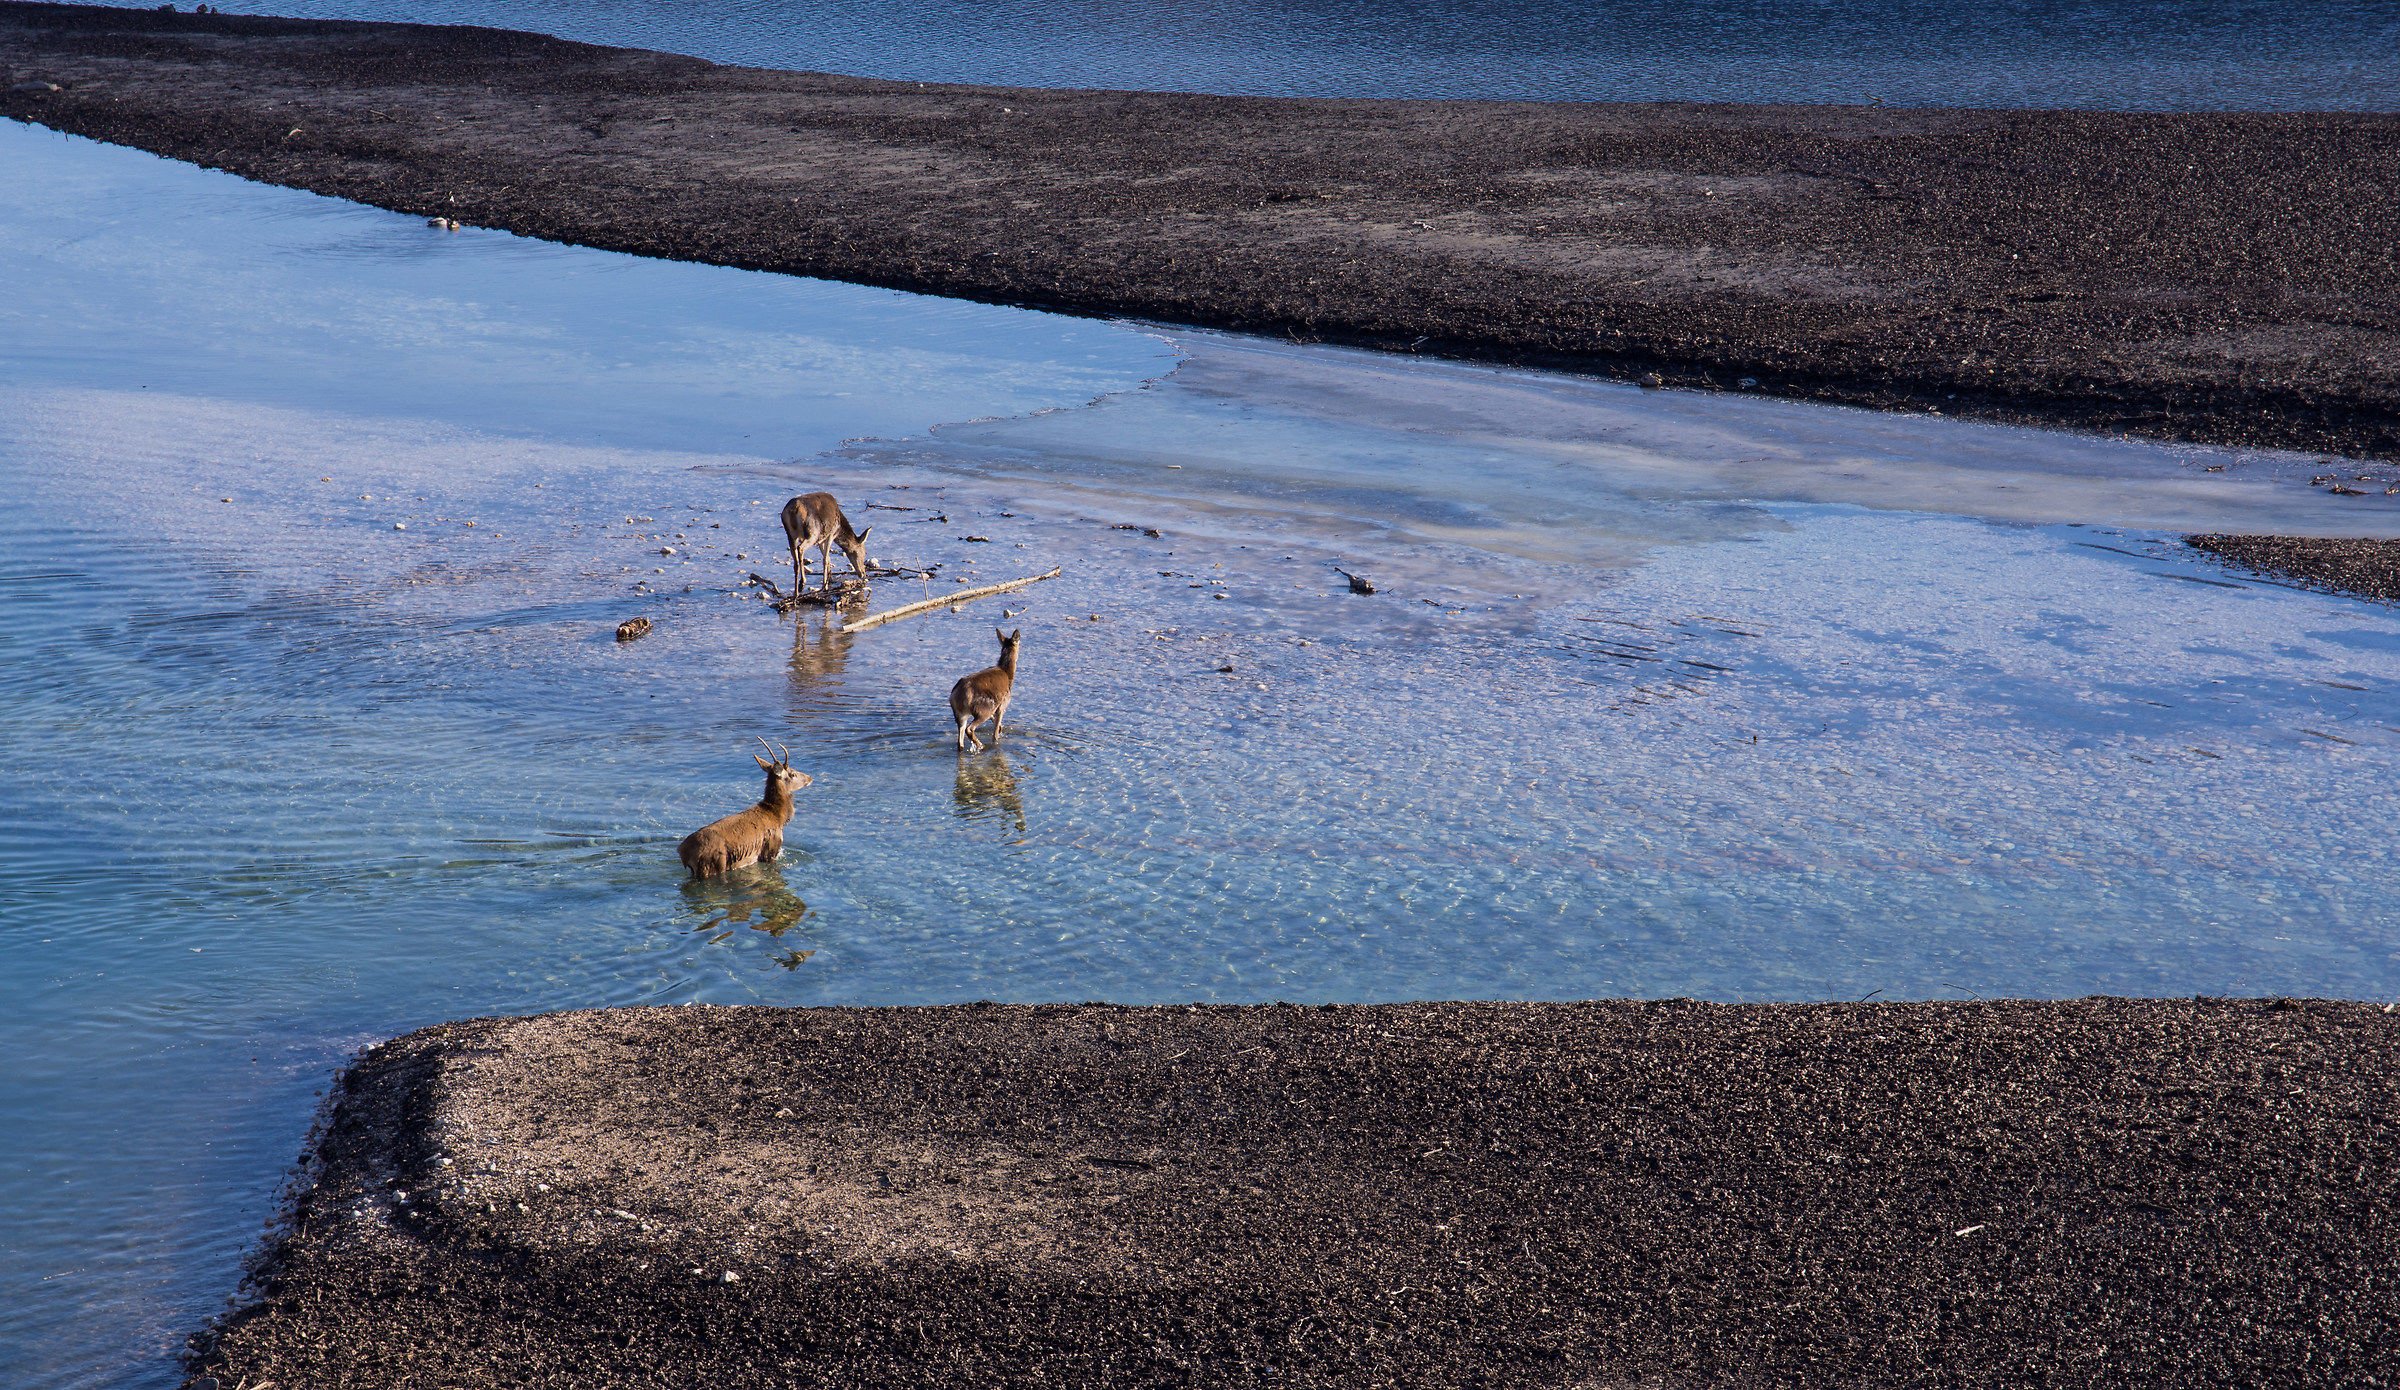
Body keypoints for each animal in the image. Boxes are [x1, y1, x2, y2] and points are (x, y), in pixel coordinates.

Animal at [678, 739, 813, 879]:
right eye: (793, 774)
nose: (809, 777)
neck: (778, 817)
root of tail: (683, 852)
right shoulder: (771, 850)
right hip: (712, 864)